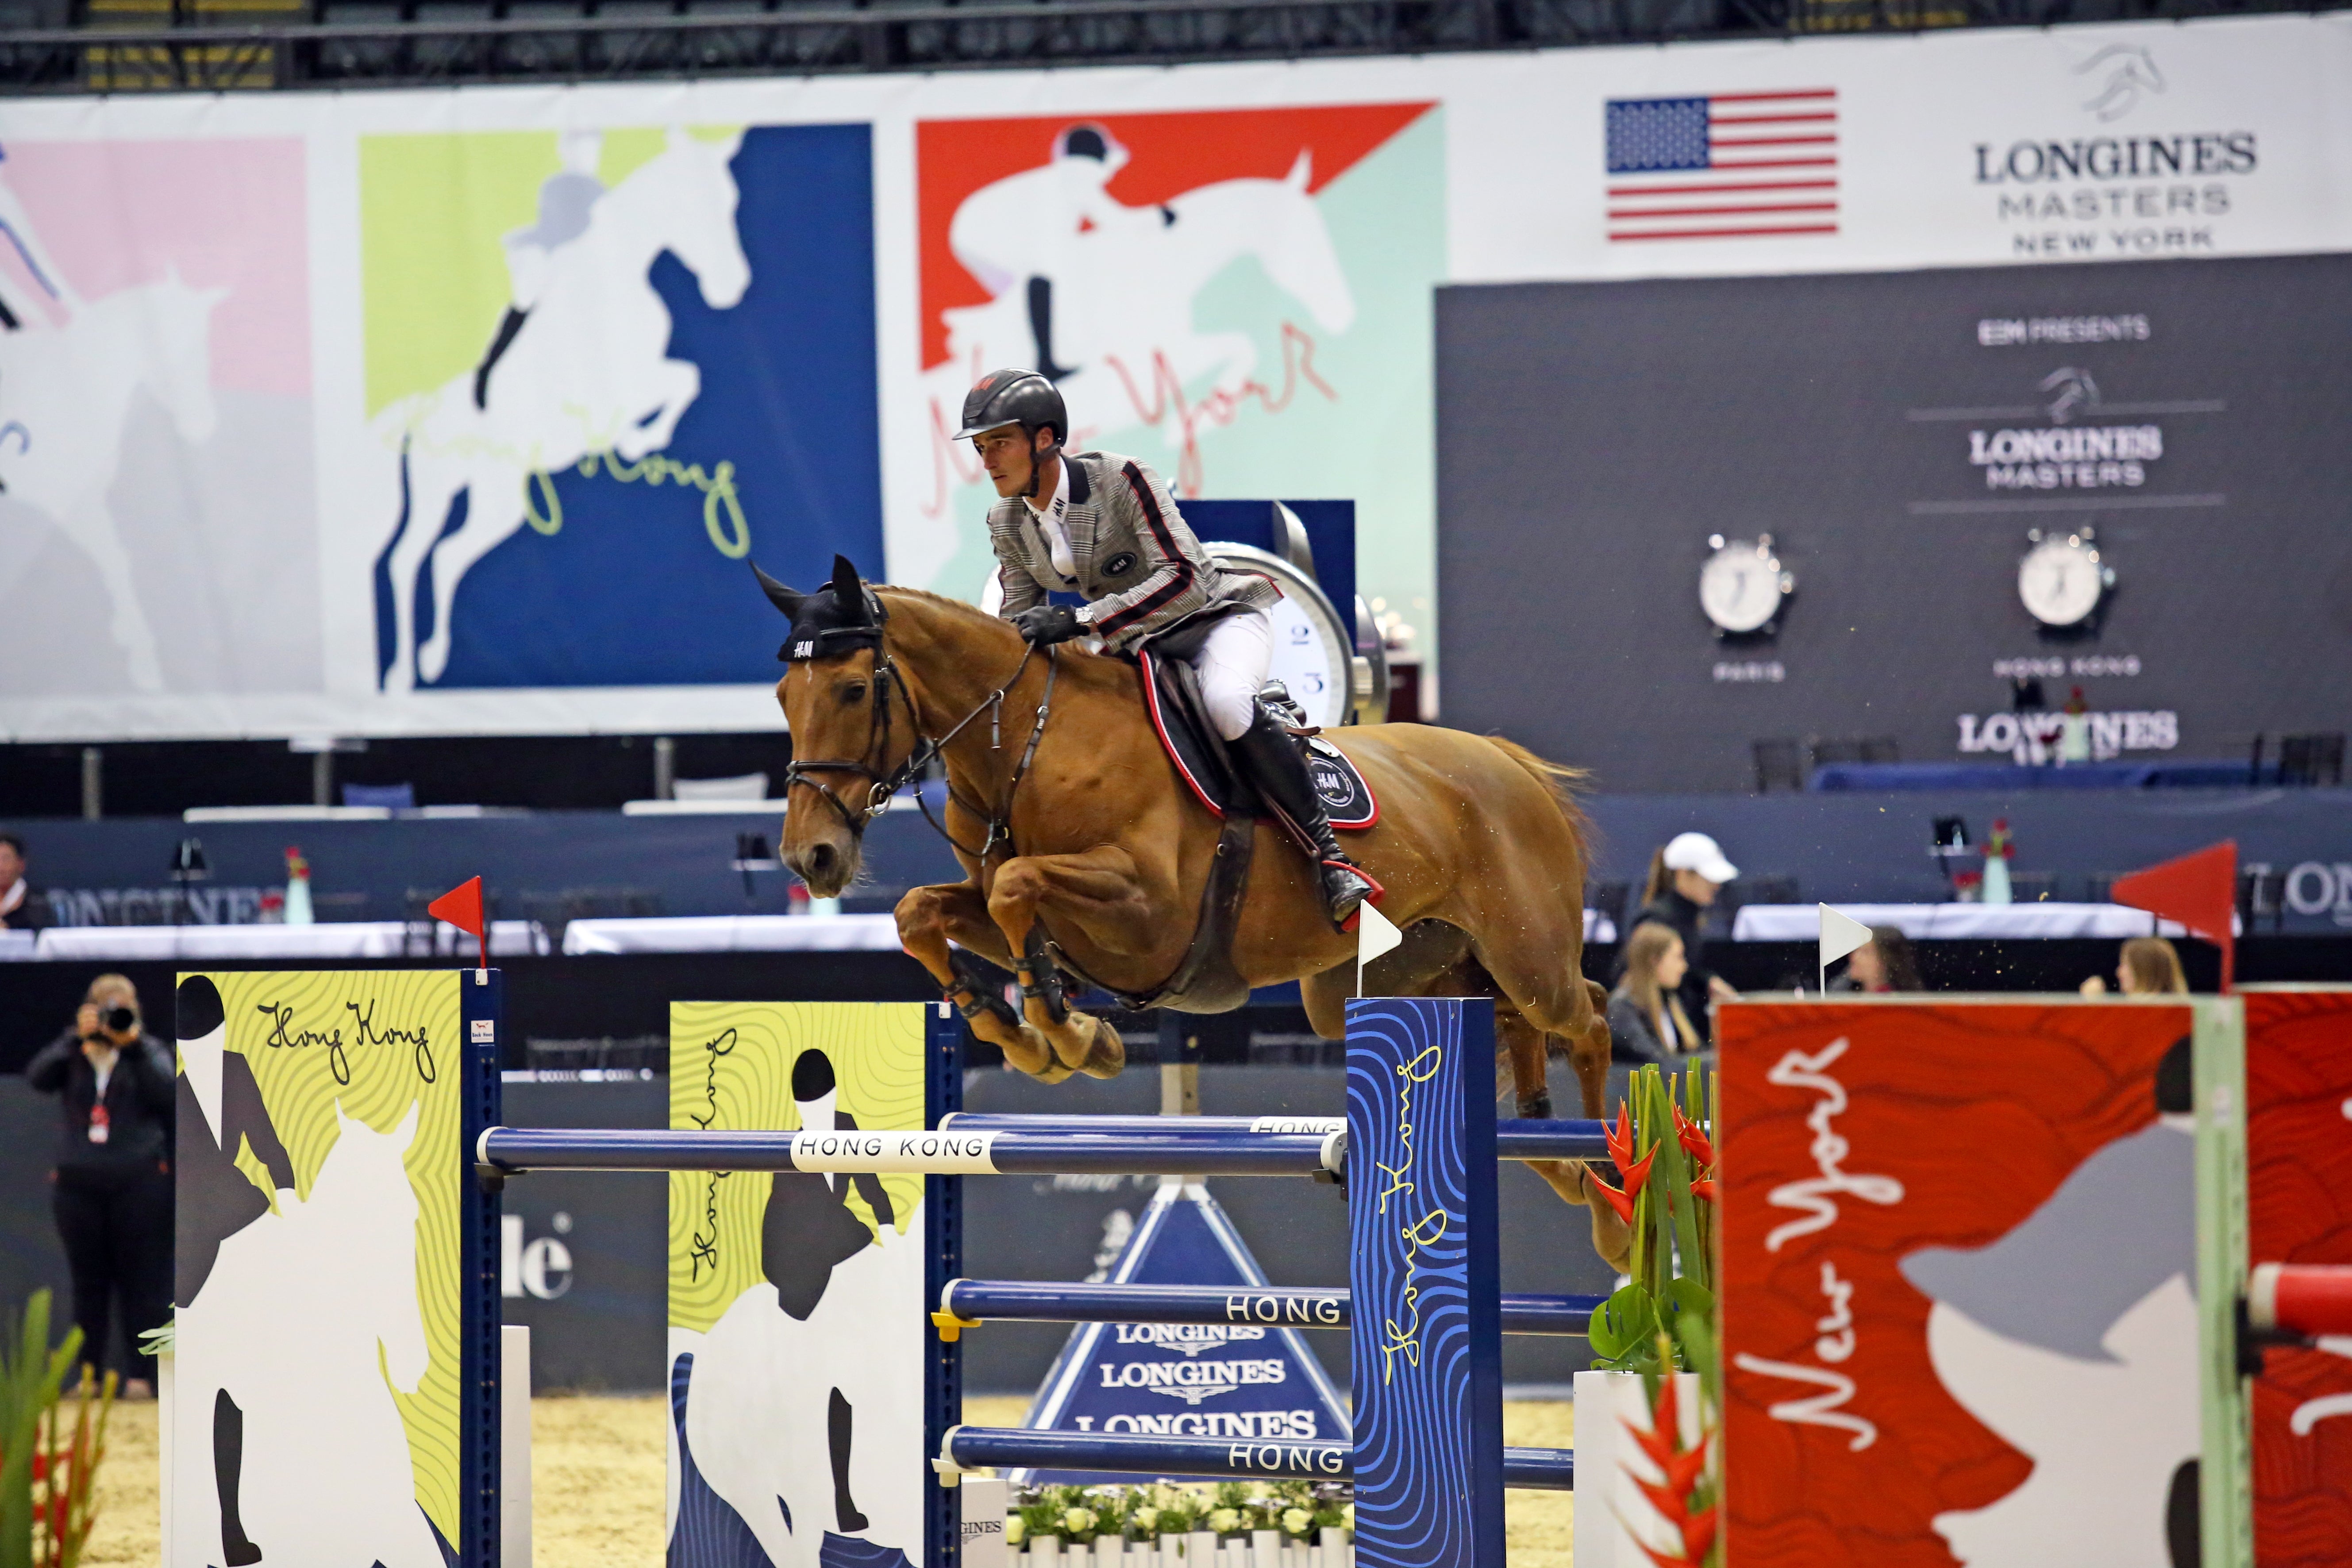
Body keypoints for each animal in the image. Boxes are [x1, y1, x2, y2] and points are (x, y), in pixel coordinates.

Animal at [762, 564, 1627, 1260]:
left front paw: (1068, 1034)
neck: (1032, 746)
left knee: (1587, 1014)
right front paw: (1021, 1031)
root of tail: (1505, 760)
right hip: (1403, 975)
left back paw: (1613, 1201)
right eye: (782, 697)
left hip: (1528, 952)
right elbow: (925, 912)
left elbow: (1016, 889)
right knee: (1510, 1027)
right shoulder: (1054, 918)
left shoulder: (1147, 914)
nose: (812, 858)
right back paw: (1562, 1163)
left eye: (851, 689)